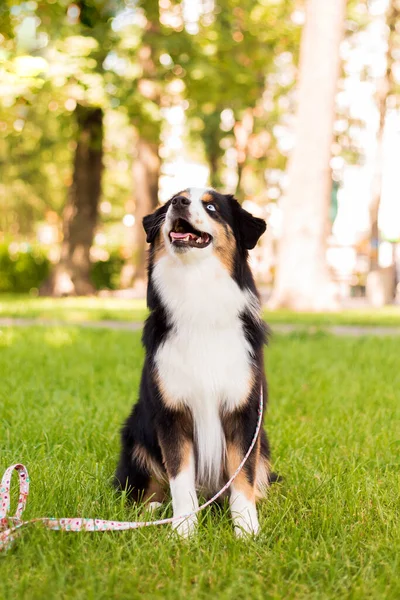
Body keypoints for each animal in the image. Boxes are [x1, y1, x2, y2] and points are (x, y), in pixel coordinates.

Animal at [114, 189, 274, 540]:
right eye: (174, 197)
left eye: (211, 206)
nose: (178, 204)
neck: (197, 294)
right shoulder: (171, 413)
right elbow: (180, 478)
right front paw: (184, 531)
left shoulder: (244, 411)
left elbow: (243, 477)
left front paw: (246, 528)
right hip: (136, 432)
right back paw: (152, 510)